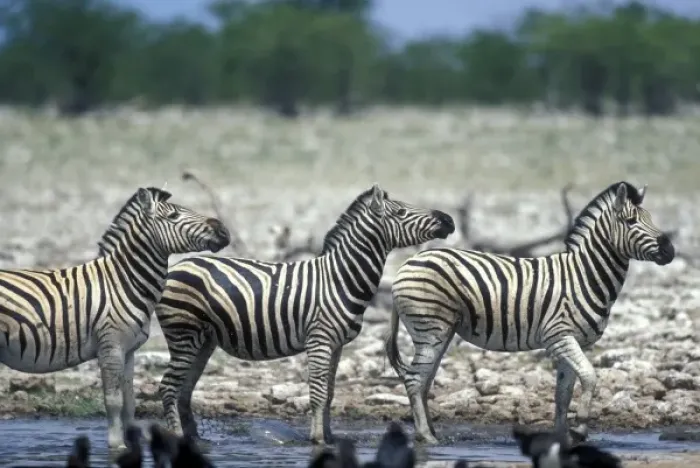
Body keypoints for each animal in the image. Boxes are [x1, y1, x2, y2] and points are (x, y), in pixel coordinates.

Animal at [0, 187, 230, 450]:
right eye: (173, 216)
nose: (224, 231)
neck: (122, 281)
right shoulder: (110, 346)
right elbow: (113, 400)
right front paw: (116, 444)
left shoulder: (129, 350)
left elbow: (130, 401)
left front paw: (134, 441)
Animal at [154, 184, 456, 444]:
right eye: (401, 212)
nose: (448, 220)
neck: (339, 279)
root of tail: (179, 265)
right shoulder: (319, 339)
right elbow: (318, 393)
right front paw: (318, 439)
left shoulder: (337, 344)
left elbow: (330, 393)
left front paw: (329, 436)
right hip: (183, 333)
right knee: (169, 387)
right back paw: (179, 437)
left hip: (204, 339)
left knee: (184, 390)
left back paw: (195, 439)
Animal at [384, 181, 675, 444]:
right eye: (631, 221)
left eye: (650, 219)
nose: (670, 251)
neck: (584, 276)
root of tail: (407, 263)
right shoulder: (560, 337)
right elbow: (590, 377)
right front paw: (580, 429)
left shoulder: (575, 342)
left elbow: (564, 392)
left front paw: (562, 436)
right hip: (431, 327)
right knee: (414, 379)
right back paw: (425, 437)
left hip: (442, 330)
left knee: (425, 379)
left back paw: (431, 432)